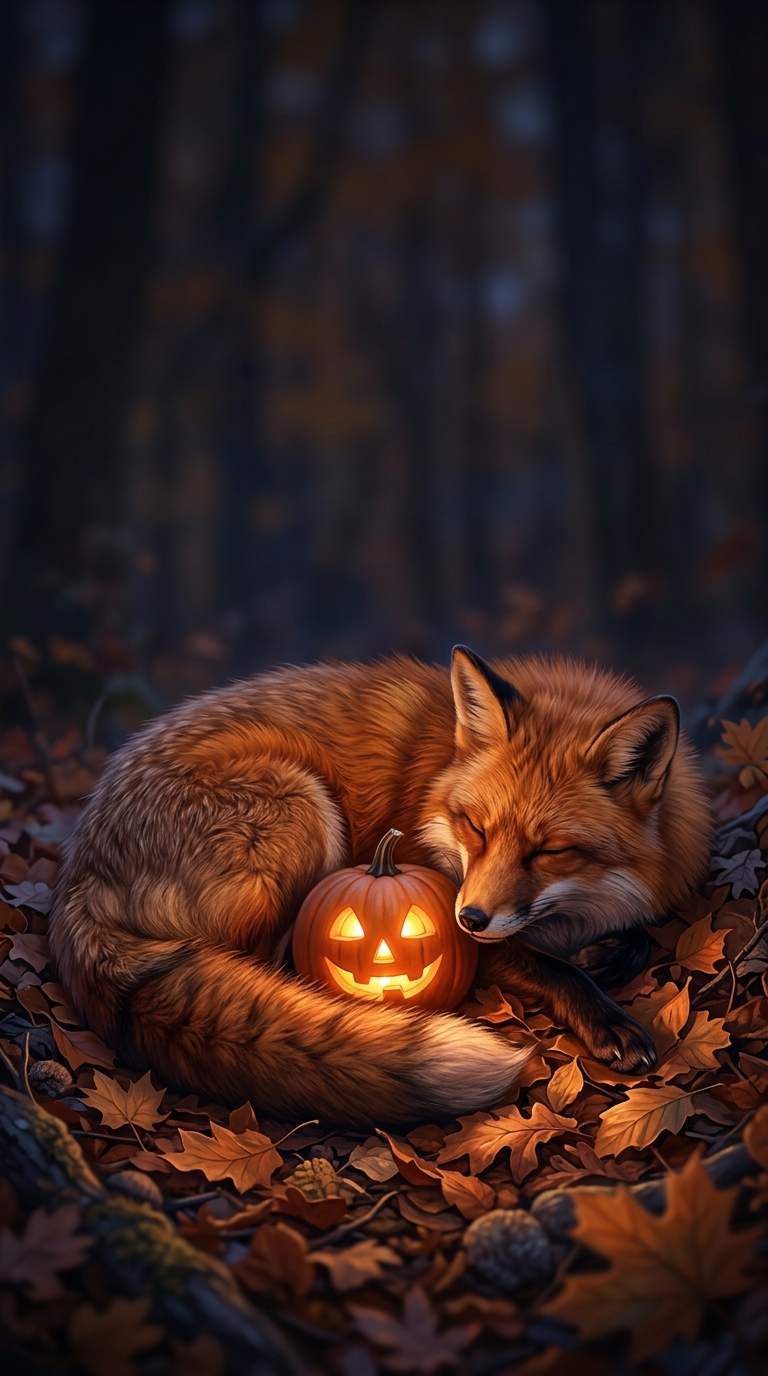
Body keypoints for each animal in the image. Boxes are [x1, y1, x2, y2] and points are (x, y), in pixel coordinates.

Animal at [50, 647, 712, 1126]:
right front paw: (606, 1013)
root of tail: (77, 872)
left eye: (549, 851)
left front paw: (608, 953)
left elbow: (637, 938)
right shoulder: (453, 908)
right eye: (477, 827)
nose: (469, 918)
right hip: (304, 807)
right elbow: (548, 967)